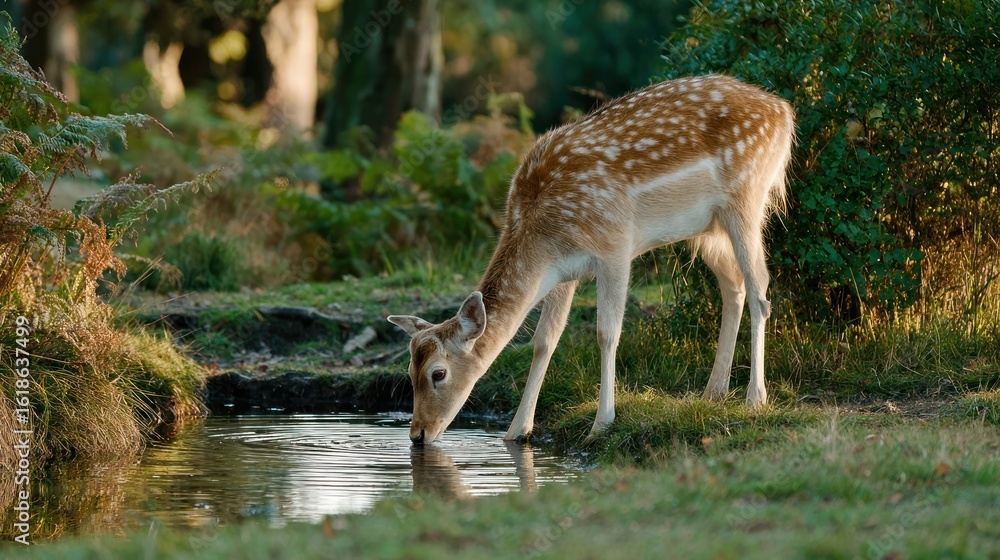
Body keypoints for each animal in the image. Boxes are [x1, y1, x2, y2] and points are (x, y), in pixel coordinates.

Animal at [388, 74, 795, 445]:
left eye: (437, 373)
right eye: (409, 370)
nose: (418, 434)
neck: (542, 233)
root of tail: (783, 110)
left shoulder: (615, 245)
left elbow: (607, 332)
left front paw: (601, 424)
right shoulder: (563, 272)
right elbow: (544, 340)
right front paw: (516, 431)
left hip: (747, 197)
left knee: (759, 289)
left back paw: (755, 398)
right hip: (707, 228)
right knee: (733, 285)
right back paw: (713, 392)